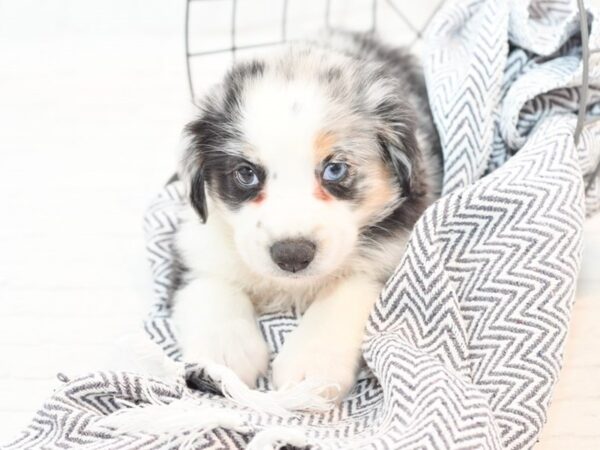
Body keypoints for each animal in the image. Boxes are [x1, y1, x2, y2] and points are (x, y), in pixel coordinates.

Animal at [170, 32, 440, 400]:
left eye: (335, 169)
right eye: (246, 174)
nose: (292, 255)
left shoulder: (394, 253)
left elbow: (347, 289)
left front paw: (312, 363)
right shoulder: (195, 241)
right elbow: (210, 282)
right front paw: (224, 352)